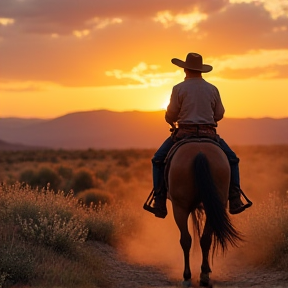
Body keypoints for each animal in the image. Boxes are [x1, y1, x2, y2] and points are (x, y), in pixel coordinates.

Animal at [168, 141, 242, 286]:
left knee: (186, 240)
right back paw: (204, 274)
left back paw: (187, 276)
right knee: (206, 239)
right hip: (213, 205)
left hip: (179, 207)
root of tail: (200, 152)